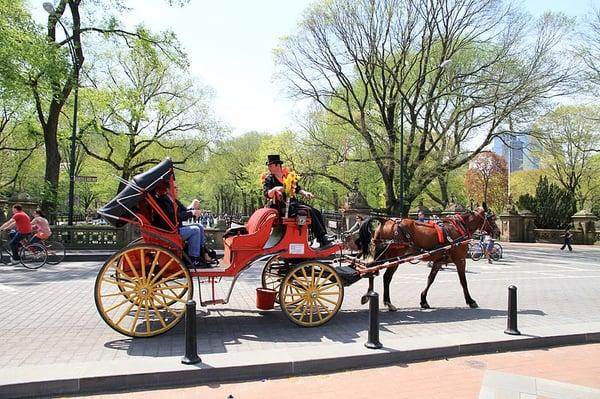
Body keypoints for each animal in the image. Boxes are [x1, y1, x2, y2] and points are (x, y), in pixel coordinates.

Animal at [356, 206, 502, 312]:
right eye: (492, 218)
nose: (498, 232)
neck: (459, 227)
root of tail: (386, 220)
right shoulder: (460, 260)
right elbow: (463, 281)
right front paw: (470, 301)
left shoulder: (438, 261)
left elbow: (430, 279)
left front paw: (423, 300)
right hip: (393, 258)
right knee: (386, 277)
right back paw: (387, 302)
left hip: (383, 254)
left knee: (370, 270)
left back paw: (369, 294)